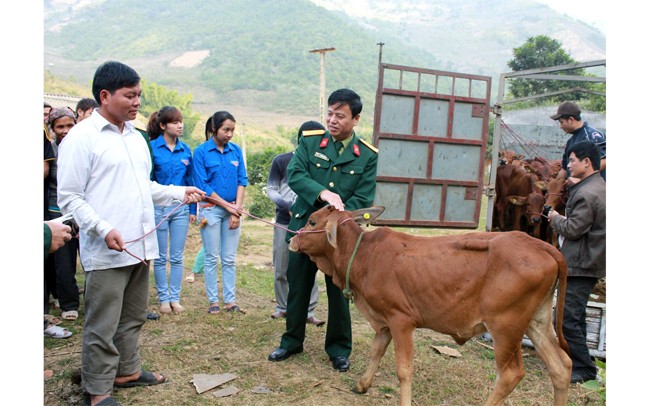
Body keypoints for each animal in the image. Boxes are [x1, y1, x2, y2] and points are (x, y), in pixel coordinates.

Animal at [288, 208, 568, 404]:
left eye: (312, 221)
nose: (292, 240)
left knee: (511, 374)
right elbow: (376, 350)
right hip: (537, 323)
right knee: (561, 366)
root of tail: (540, 245)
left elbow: (403, 369)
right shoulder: (384, 322)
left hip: (506, 327)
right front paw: (362, 384)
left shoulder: (401, 319)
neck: (364, 256)